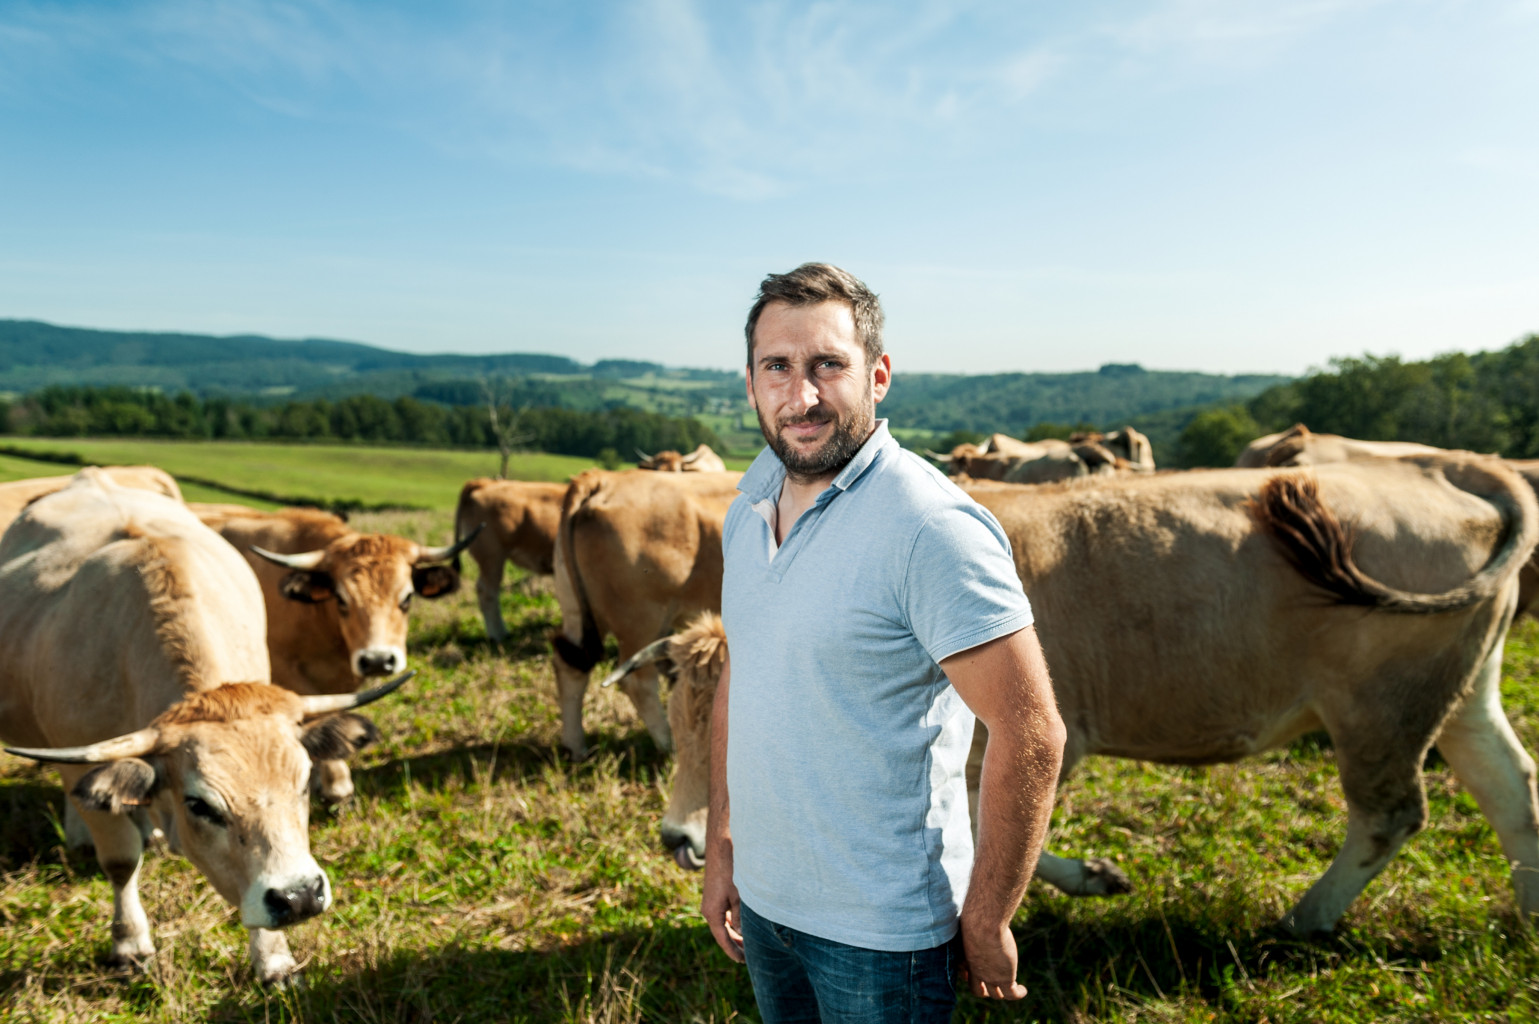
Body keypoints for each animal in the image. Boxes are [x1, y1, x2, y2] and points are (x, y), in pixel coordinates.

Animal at [0, 471, 409, 985]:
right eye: (200, 805)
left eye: (302, 783)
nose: (299, 897)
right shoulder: (77, 761)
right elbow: (120, 860)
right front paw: (129, 944)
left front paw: (274, 959)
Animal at [550, 468, 741, 757]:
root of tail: (602, 478)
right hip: (639, 620)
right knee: (638, 682)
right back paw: (669, 745)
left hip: (576, 611)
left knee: (571, 667)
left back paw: (576, 747)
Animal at [630, 455, 1539, 936]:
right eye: (675, 721)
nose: (677, 838)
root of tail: (1426, 466)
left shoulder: (1030, 736)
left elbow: (995, 842)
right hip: (1456, 694)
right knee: (1510, 787)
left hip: (1378, 708)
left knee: (1391, 813)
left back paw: (1304, 918)